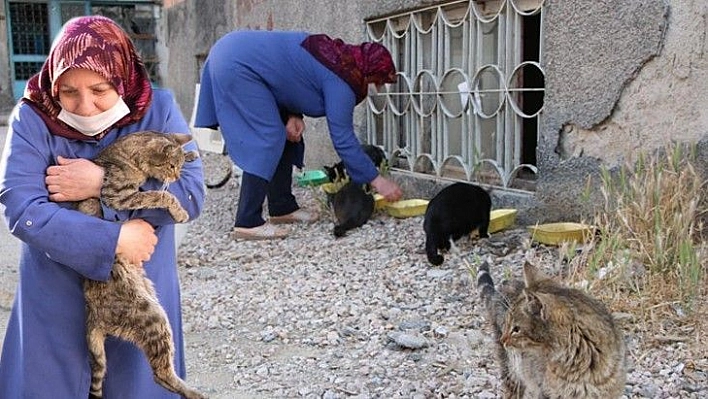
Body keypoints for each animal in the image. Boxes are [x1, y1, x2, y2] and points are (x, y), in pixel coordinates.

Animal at [76, 131, 206, 399]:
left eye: (178, 167)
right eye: (171, 166)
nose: (176, 176)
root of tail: (93, 315)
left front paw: (190, 152)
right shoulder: (118, 196)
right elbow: (160, 194)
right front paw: (179, 210)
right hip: (153, 317)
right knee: (160, 374)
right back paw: (193, 392)